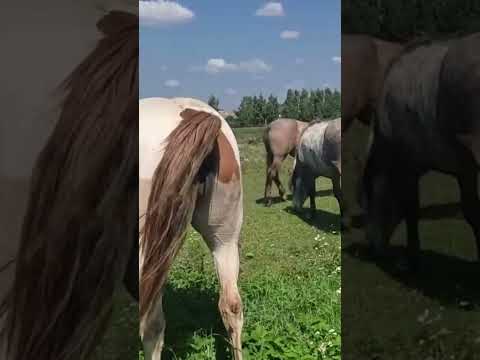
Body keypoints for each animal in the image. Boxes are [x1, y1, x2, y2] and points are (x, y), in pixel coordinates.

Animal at [364, 33, 480, 268]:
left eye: (369, 193)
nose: (370, 247)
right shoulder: (464, 167)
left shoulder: (409, 163)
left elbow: (411, 208)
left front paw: (412, 259)